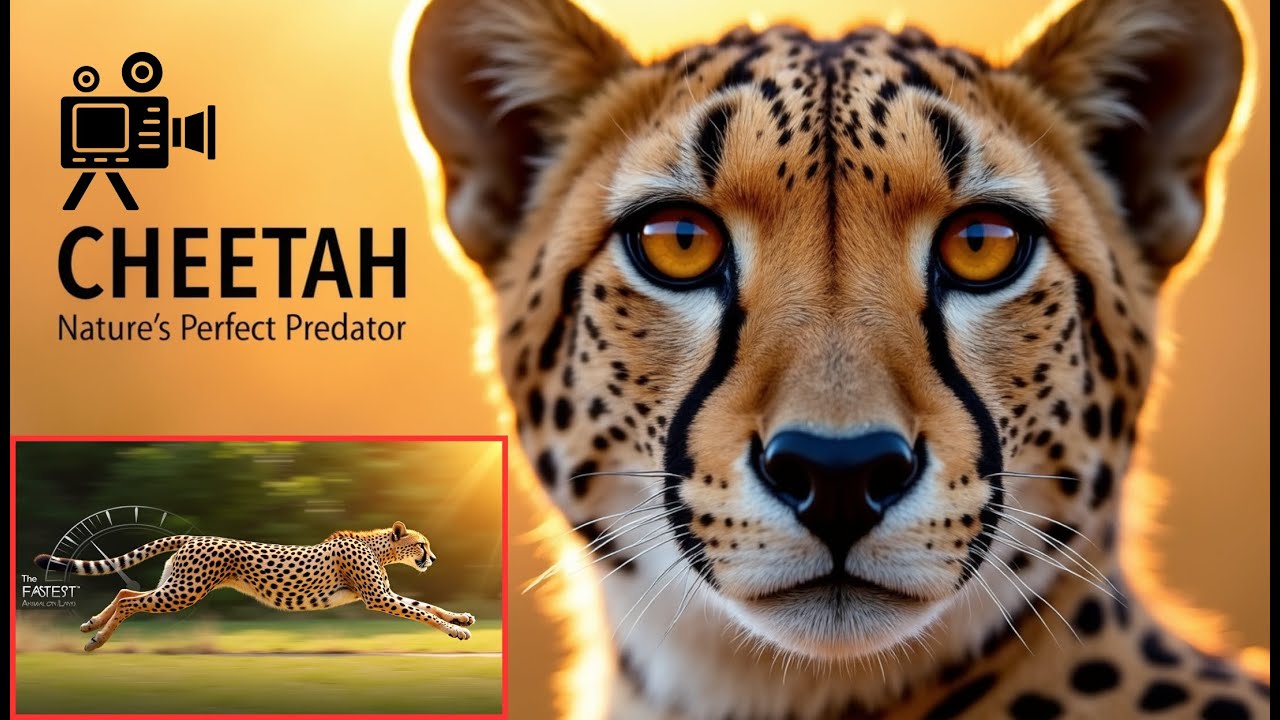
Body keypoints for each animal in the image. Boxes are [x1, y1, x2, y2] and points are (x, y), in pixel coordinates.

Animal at [33, 521, 476, 652]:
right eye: (421, 545)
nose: (433, 559)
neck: (378, 546)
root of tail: (195, 537)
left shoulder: (384, 595)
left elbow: (427, 606)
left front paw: (462, 618)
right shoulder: (379, 598)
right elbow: (421, 611)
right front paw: (455, 631)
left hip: (176, 586)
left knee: (126, 592)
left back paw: (91, 625)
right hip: (184, 591)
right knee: (129, 600)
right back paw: (96, 640)